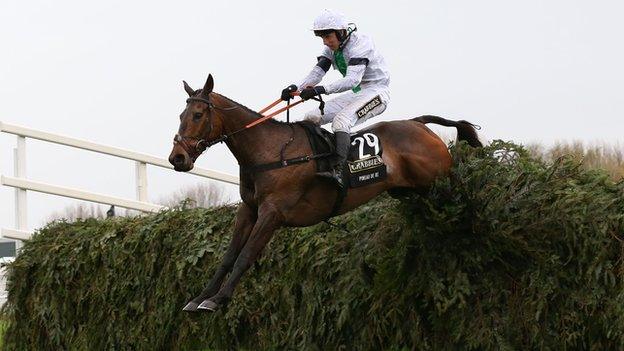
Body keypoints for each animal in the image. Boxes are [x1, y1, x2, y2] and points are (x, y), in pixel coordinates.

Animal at [167, 75, 482, 314]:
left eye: (197, 115)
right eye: (181, 115)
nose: (177, 158)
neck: (268, 151)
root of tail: (419, 123)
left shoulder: (272, 212)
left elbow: (246, 254)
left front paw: (218, 299)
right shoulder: (249, 209)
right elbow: (229, 256)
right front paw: (200, 298)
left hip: (437, 179)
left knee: (459, 188)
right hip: (410, 191)